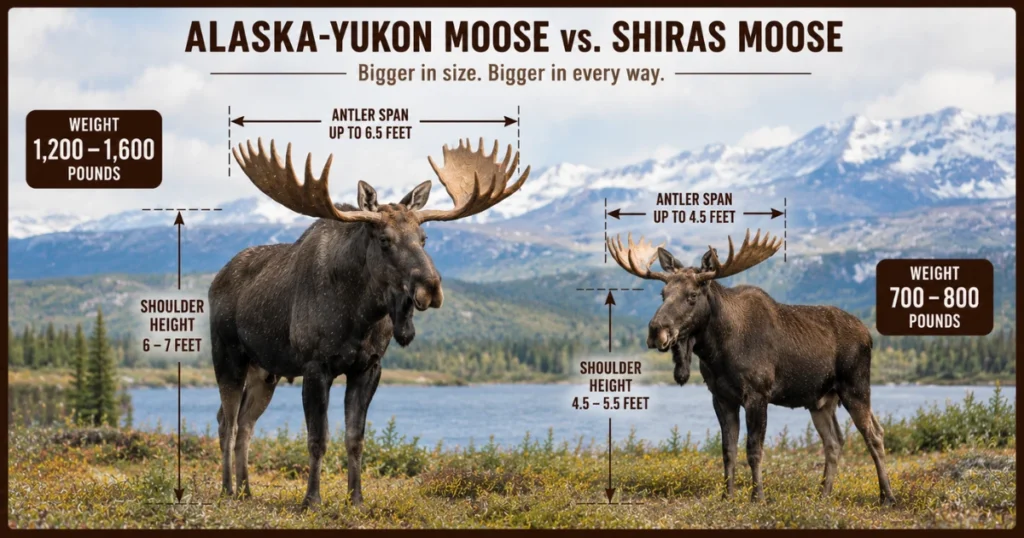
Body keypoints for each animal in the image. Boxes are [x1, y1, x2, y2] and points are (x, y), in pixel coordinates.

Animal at [209, 138, 530, 508]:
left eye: (423, 238)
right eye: (384, 239)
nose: (431, 287)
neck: (360, 317)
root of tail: (215, 280)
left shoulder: (369, 366)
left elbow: (355, 437)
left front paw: (357, 498)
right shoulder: (315, 365)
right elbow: (318, 438)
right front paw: (312, 500)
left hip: (266, 371)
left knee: (245, 423)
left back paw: (246, 490)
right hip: (228, 357)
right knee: (227, 421)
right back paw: (227, 489)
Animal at [606, 230, 895, 506]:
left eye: (692, 295)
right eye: (663, 294)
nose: (656, 330)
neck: (716, 350)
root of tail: (869, 336)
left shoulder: (757, 394)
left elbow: (754, 450)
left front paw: (758, 497)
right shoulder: (721, 397)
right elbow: (728, 450)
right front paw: (728, 496)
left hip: (856, 388)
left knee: (874, 435)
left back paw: (887, 497)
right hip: (821, 401)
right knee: (834, 442)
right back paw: (824, 495)